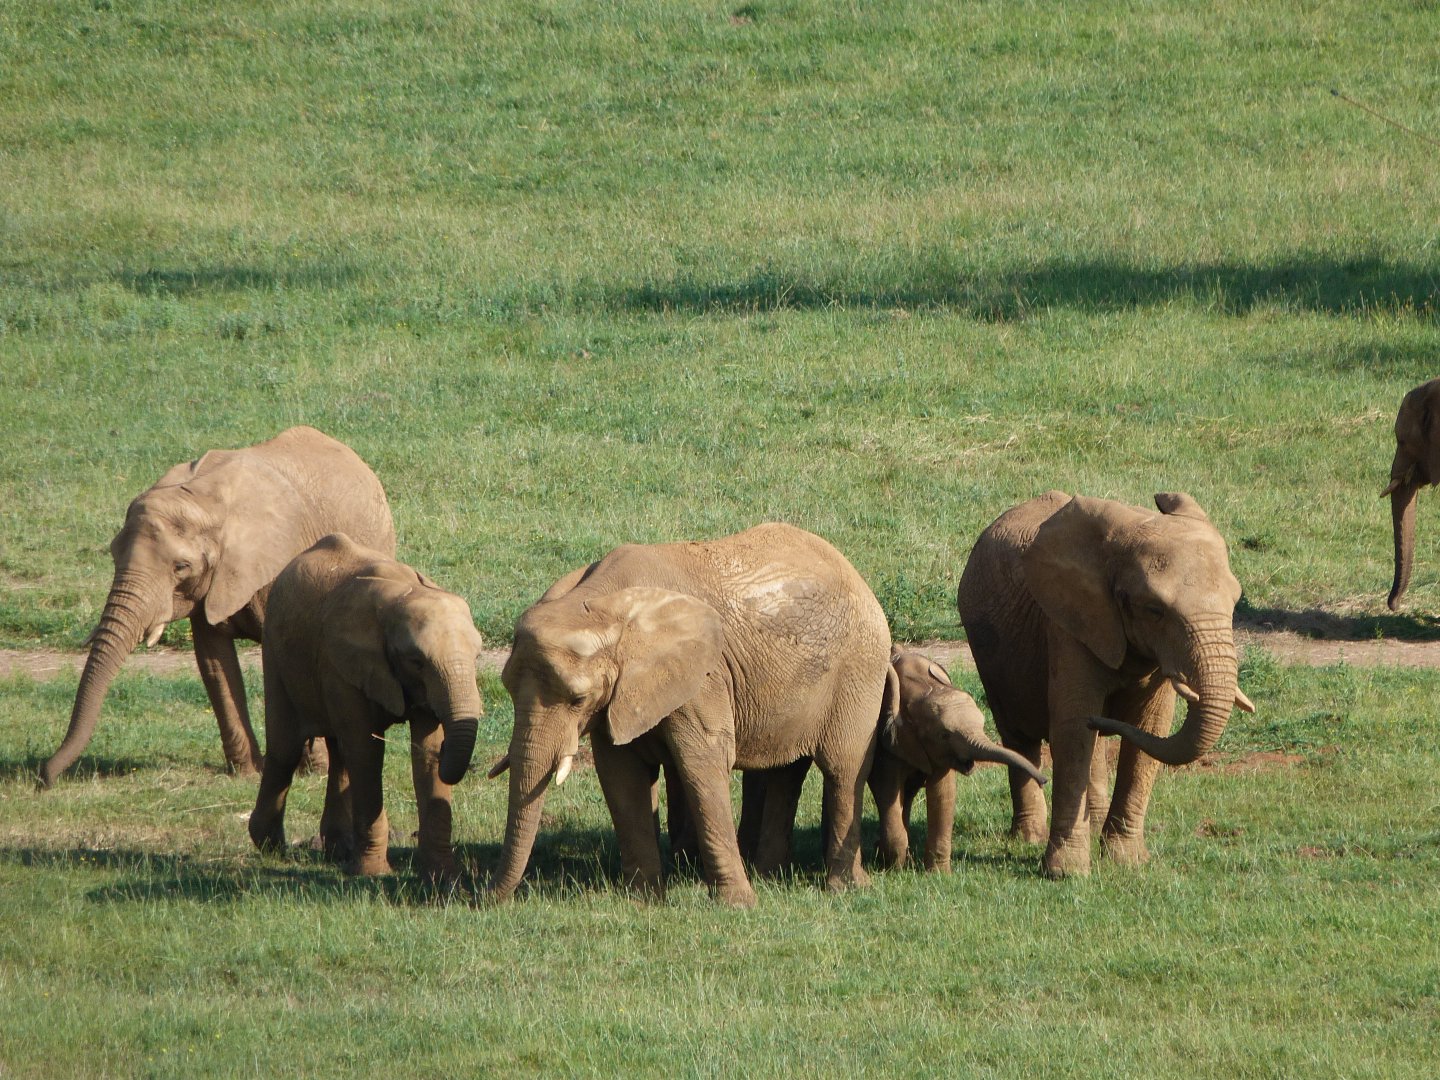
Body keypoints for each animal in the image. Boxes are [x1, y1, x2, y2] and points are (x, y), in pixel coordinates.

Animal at [40, 426, 395, 788]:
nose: (45, 776)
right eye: (113, 554)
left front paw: (313, 771)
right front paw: (248, 773)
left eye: (180, 567)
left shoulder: (278, 565)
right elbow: (213, 661)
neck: (200, 499)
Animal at [248, 534, 484, 884]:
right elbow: (367, 751)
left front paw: (444, 878)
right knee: (286, 747)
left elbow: (424, 755)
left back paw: (338, 851)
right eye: (416, 661)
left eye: (477, 656)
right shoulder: (343, 662)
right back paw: (270, 846)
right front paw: (372, 874)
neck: (403, 595)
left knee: (339, 754)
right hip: (276, 647)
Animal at [488, 522, 892, 908]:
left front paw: (738, 906)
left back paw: (844, 888)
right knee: (786, 770)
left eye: (578, 699)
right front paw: (643, 902)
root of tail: (851, 568)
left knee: (843, 768)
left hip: (860, 665)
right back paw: (769, 875)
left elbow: (702, 762)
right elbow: (621, 776)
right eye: (506, 687)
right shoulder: (620, 696)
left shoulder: (703, 676)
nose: (487, 899)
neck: (600, 603)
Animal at [957, 491, 1254, 879]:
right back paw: (1028, 838)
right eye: (1154, 610)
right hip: (988, 650)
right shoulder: (1068, 623)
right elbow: (1071, 730)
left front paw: (1127, 861)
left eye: (1235, 602)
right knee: (1019, 736)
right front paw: (1066, 873)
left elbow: (1150, 730)